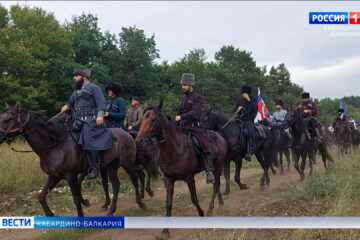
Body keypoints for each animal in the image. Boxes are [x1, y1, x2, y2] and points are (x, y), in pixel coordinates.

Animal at [0, 102, 146, 217]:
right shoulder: (54, 176)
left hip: (127, 163)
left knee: (135, 179)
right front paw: (50, 214)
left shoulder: (71, 176)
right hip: (111, 166)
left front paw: (81, 215)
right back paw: (111, 210)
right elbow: (41, 196)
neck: (55, 145)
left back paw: (141, 203)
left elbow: (76, 198)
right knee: (116, 185)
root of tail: (127, 134)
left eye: (8, 118)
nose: (0, 135)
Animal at [135, 101, 228, 240]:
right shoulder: (168, 179)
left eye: (153, 119)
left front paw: (201, 215)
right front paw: (165, 230)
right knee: (216, 185)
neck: (174, 148)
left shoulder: (189, 177)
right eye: (142, 119)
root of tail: (219, 136)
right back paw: (219, 205)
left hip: (218, 166)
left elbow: (194, 199)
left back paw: (210, 210)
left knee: (216, 185)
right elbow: (168, 203)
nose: (139, 140)